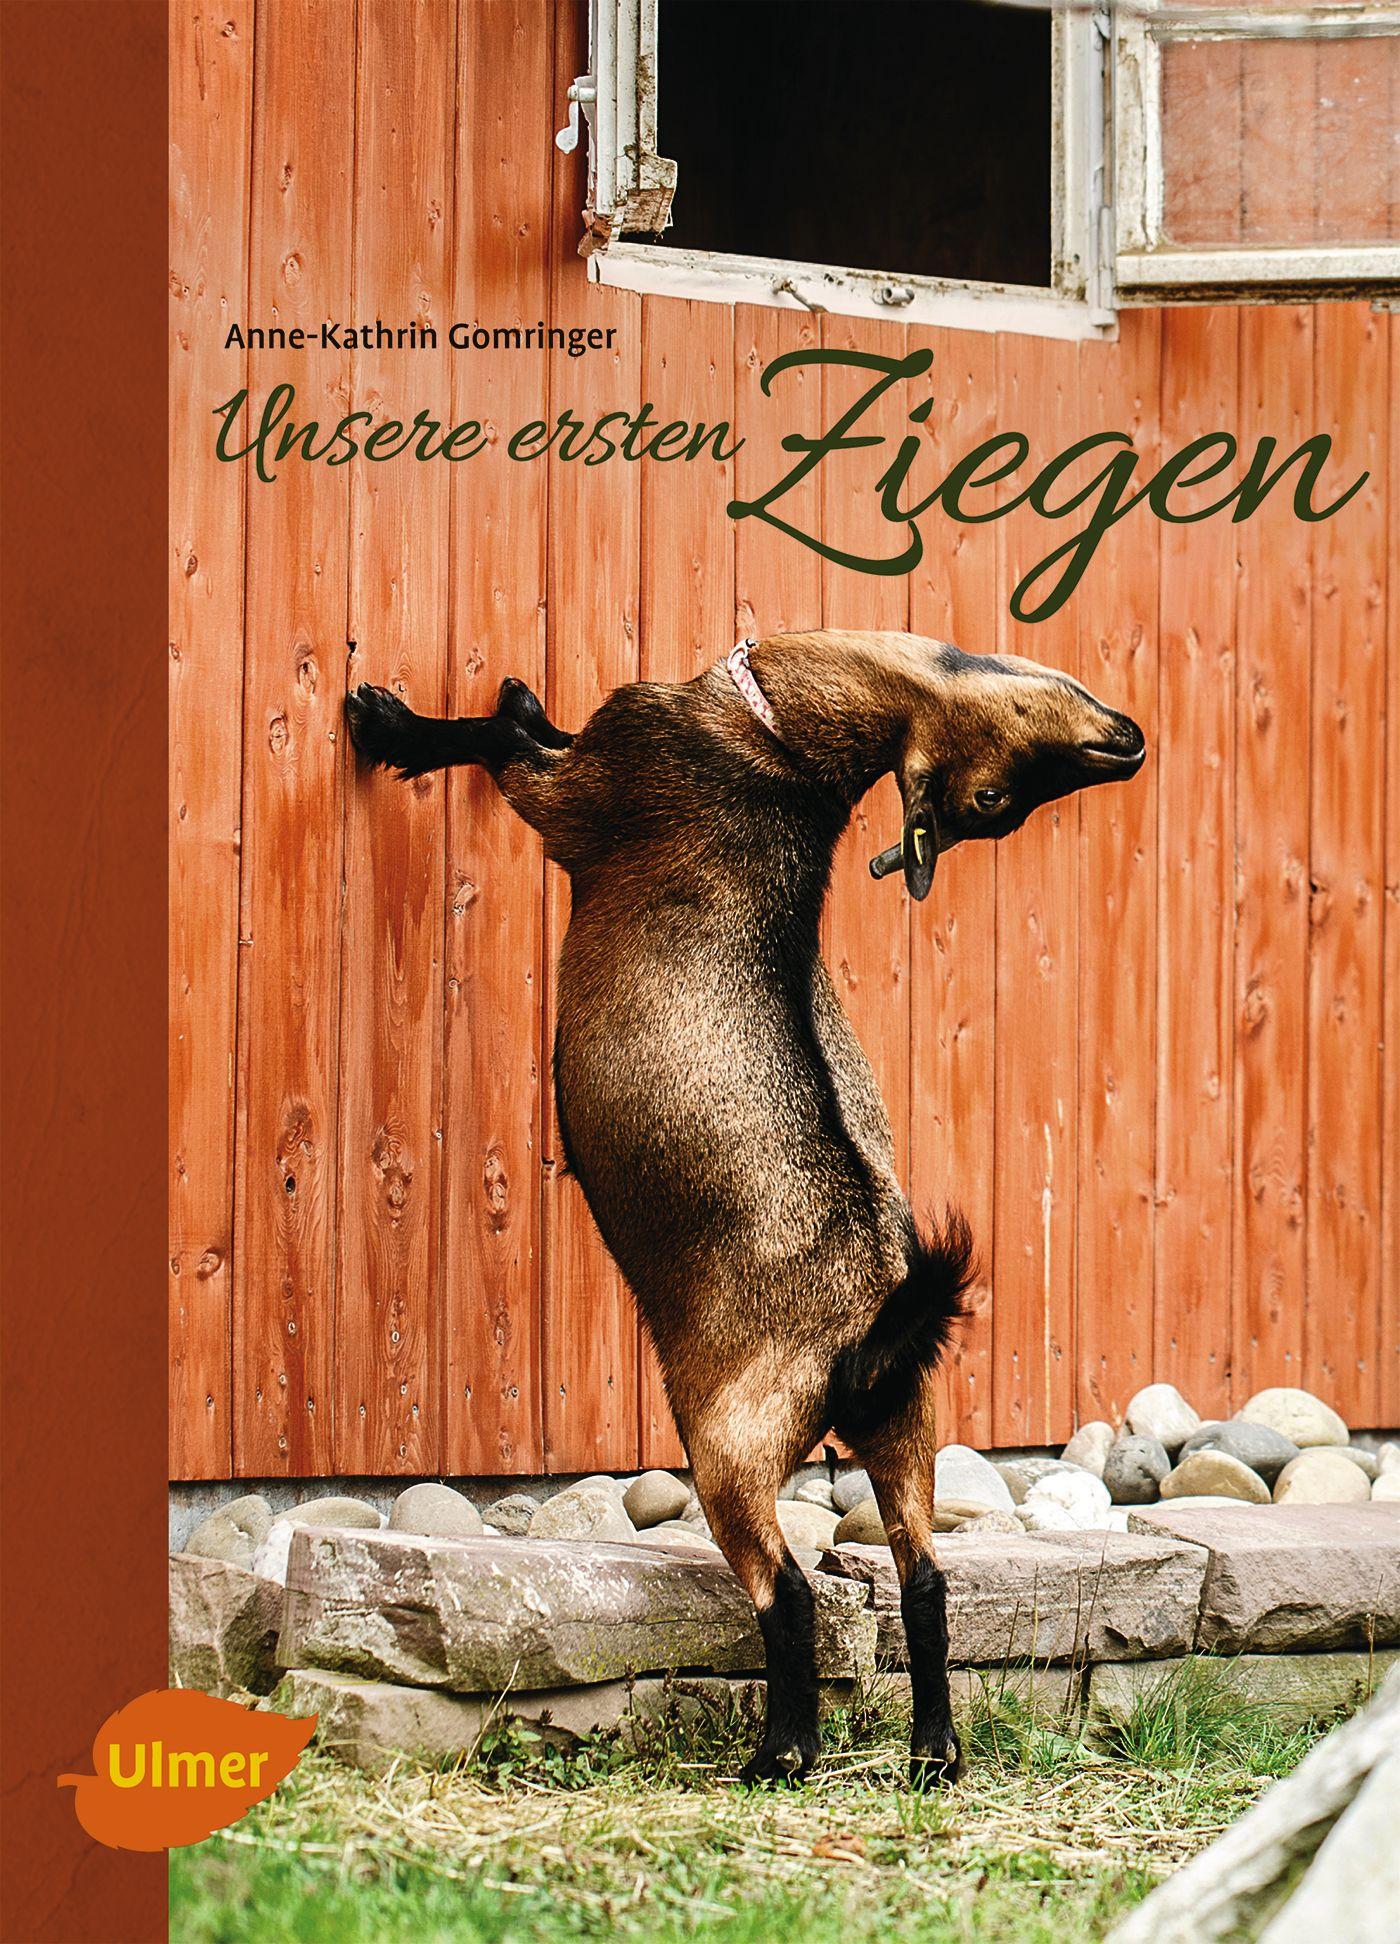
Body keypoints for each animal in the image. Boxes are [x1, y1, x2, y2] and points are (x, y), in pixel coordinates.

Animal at [346, 629, 1145, 1788]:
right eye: (998, 796)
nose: (1126, 744)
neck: (778, 749)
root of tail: (873, 1328)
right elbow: (530, 722)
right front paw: (512, 693)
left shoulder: (577, 796)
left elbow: (503, 744)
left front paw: (390, 724)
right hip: (908, 1427)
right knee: (924, 1578)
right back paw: (933, 1753)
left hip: (730, 1439)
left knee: (788, 1590)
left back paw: (782, 1753)